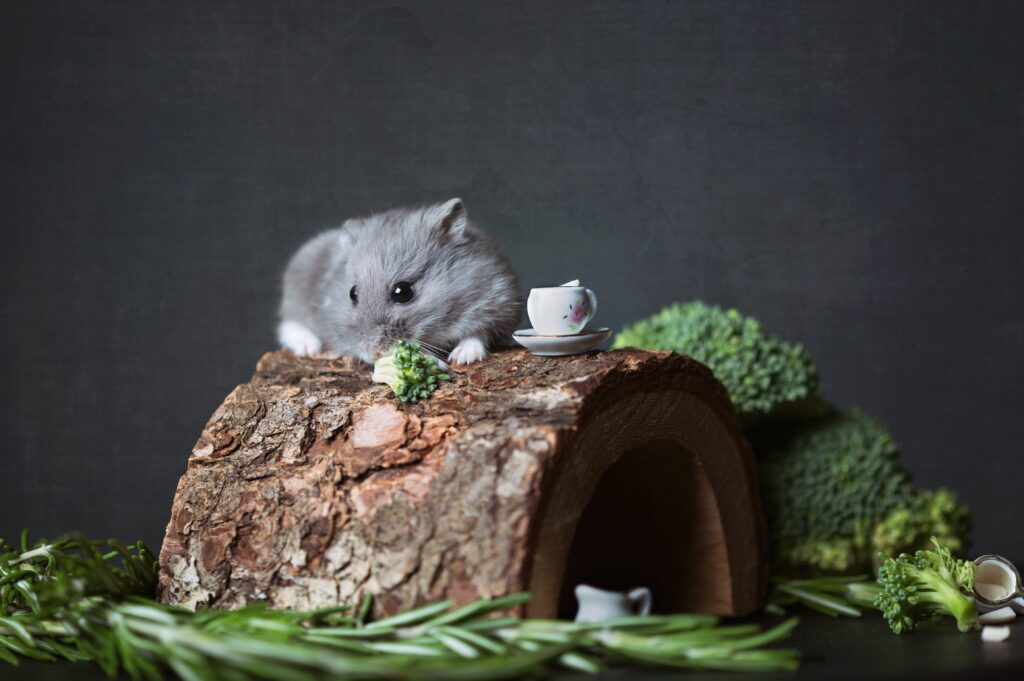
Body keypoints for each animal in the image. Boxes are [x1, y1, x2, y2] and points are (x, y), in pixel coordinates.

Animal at [276, 197, 520, 366]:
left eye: (403, 292)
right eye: (352, 293)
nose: (372, 354)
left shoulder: (497, 301)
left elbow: (477, 334)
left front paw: (462, 358)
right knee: (289, 324)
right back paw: (309, 347)